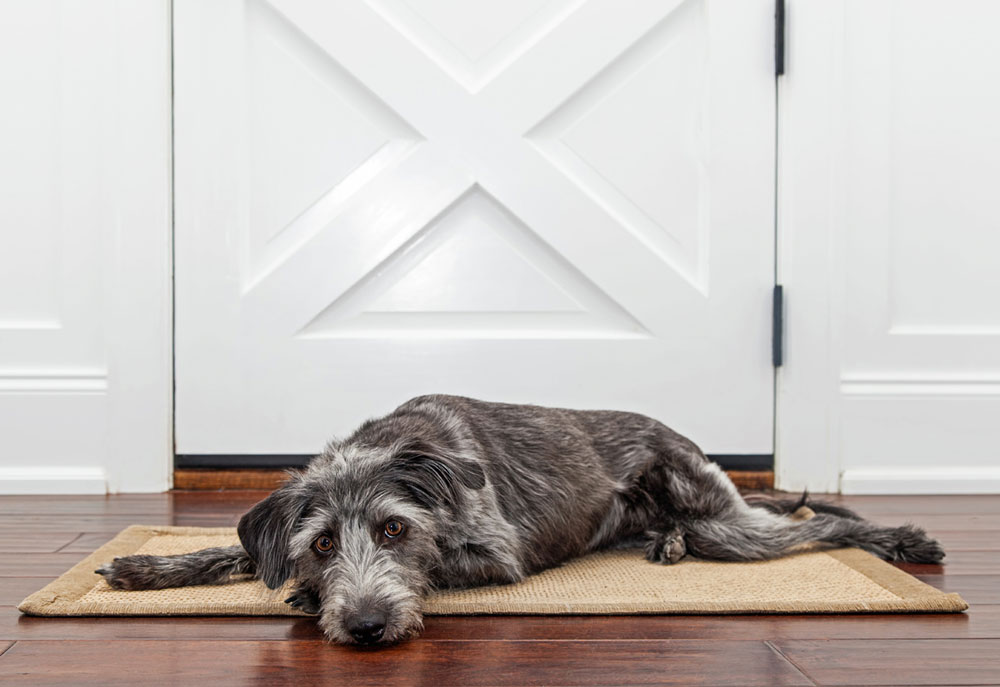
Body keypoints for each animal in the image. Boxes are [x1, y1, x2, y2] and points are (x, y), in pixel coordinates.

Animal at [95, 396, 944, 648]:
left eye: (396, 530)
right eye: (324, 541)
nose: (366, 627)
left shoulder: (497, 556)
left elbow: (447, 564)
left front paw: (308, 599)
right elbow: (232, 553)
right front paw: (145, 568)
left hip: (725, 524)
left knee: (817, 524)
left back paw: (899, 539)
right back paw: (663, 541)